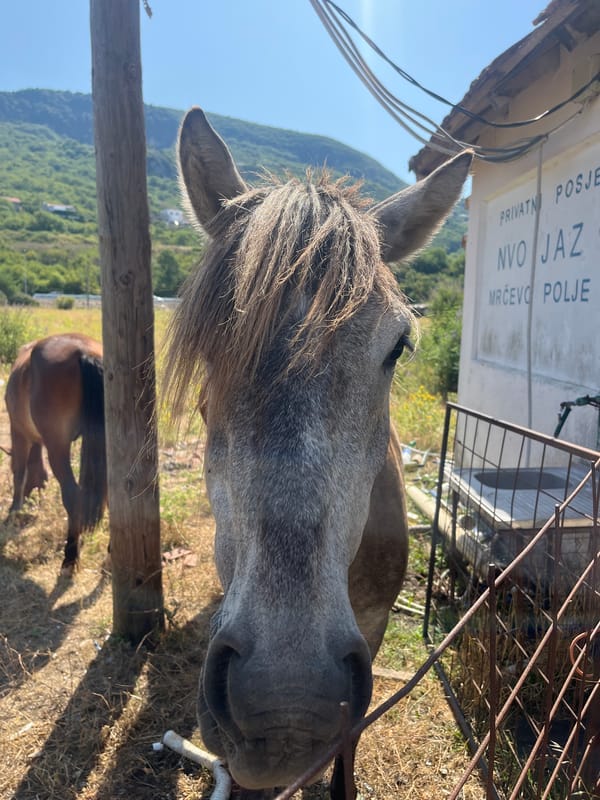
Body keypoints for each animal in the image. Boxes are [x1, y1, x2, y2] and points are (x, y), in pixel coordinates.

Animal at [5, 332, 107, 575]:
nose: (31, 499)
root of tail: (83, 351)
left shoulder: (18, 432)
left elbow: (19, 472)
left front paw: (14, 511)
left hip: (57, 447)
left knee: (72, 495)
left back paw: (70, 557)